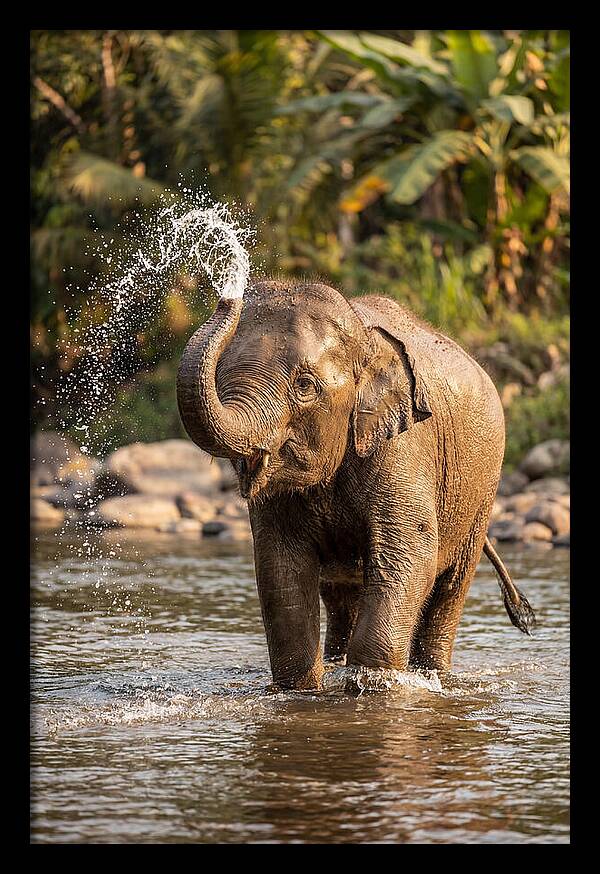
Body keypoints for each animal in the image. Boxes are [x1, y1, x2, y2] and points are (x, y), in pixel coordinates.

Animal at [177, 280, 535, 690]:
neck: (363, 338)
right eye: (220, 376)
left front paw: (372, 684)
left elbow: (410, 554)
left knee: (449, 588)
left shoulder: (403, 447)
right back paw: (337, 661)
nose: (228, 296)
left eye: (305, 386)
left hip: (481, 494)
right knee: (340, 594)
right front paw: (303, 688)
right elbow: (280, 567)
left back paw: (432, 673)